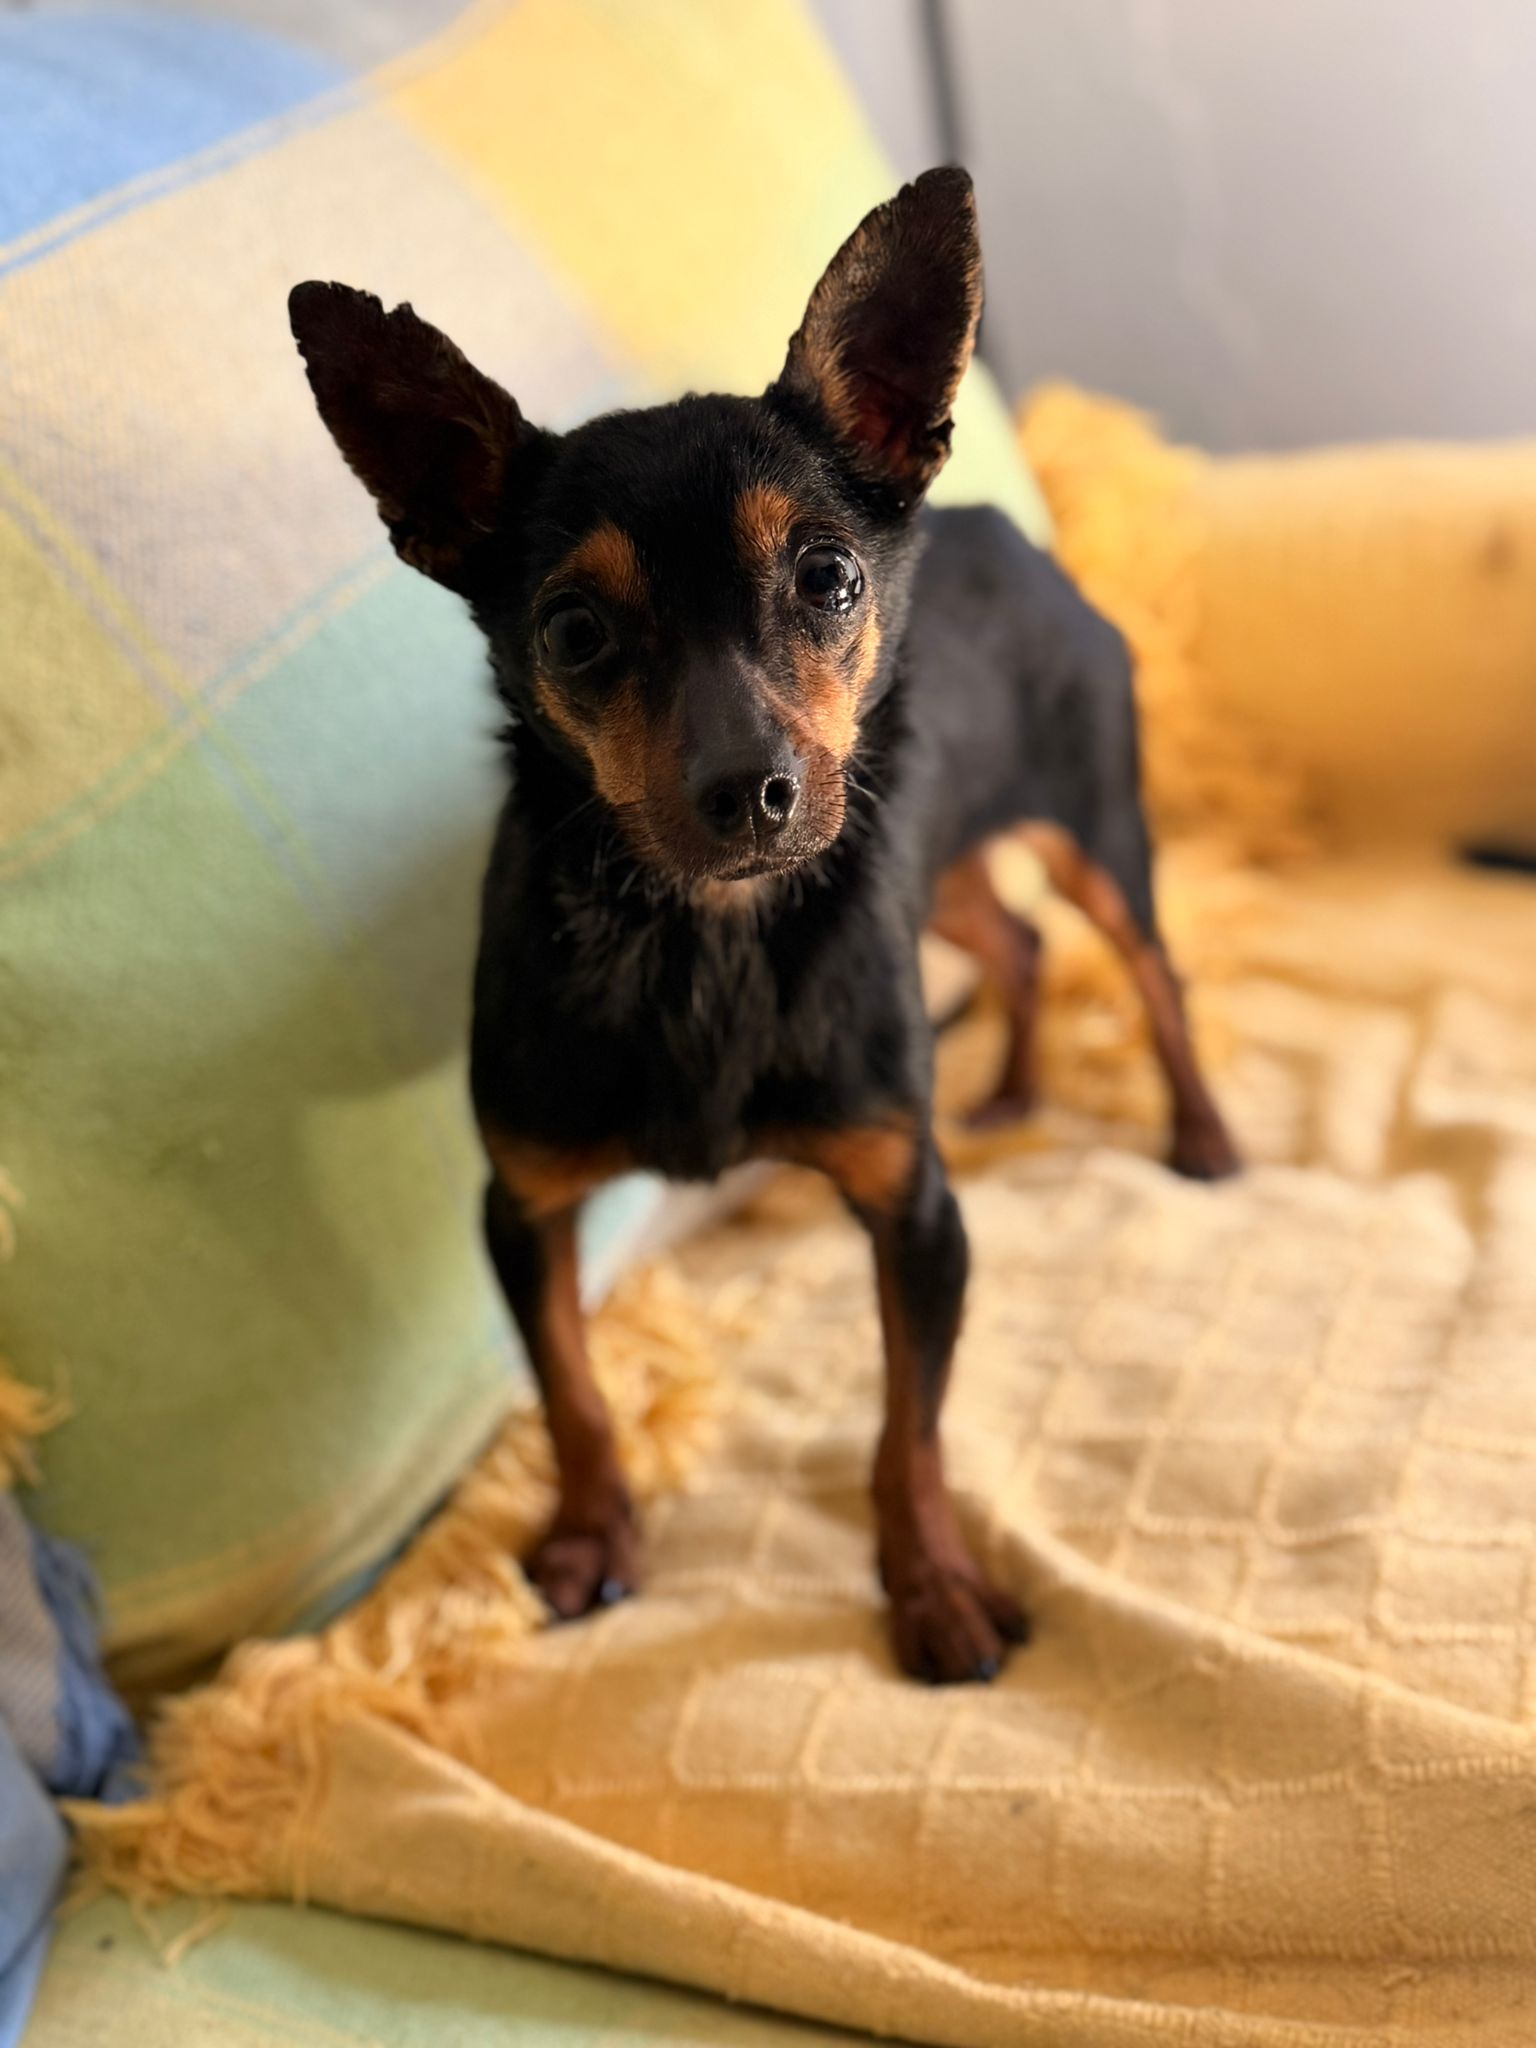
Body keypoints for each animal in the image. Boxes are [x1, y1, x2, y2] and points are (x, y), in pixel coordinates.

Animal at [289, 167, 1238, 1685]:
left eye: (831, 579)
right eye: (571, 633)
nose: (749, 793)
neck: (704, 936)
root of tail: (1004, 529)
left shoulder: (914, 1212)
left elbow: (909, 1426)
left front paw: (933, 1585)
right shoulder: (525, 1205)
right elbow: (571, 1388)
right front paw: (592, 1534)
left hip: (1092, 831)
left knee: (1152, 973)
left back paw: (1200, 1133)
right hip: (930, 861)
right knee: (1018, 944)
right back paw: (1015, 1083)